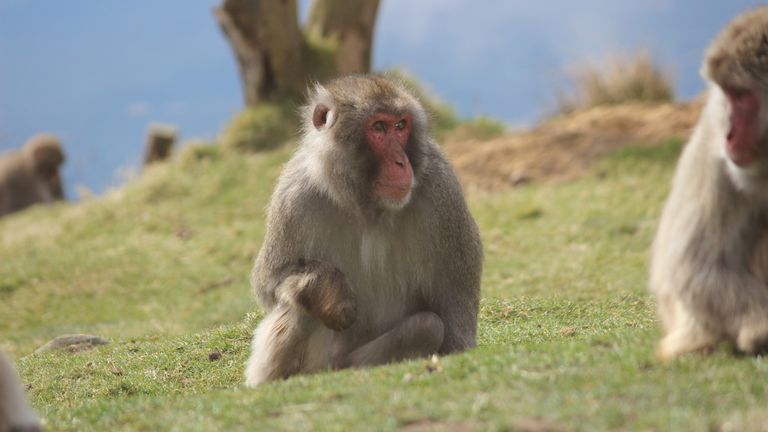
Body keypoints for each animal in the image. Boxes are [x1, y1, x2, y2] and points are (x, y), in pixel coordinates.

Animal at [243, 74, 484, 384]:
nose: (401, 162)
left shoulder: (442, 190)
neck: (366, 204)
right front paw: (326, 290)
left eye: (400, 126)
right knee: (300, 307)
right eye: (378, 127)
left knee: (427, 326)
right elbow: (269, 282)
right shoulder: (293, 195)